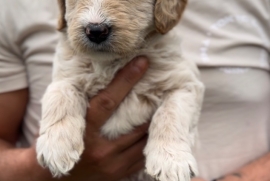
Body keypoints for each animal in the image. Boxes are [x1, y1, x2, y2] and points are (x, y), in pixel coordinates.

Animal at [36, 0, 205, 180]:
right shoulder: (66, 75)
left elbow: (170, 114)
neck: (114, 62)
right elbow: (60, 97)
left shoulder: (184, 83)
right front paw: (55, 148)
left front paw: (170, 160)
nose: (95, 31)